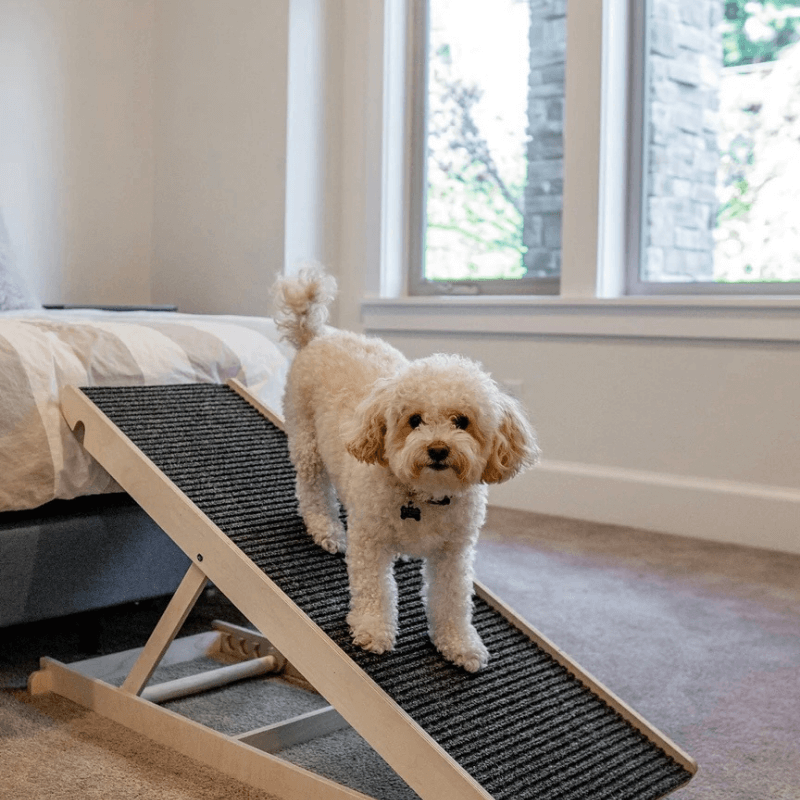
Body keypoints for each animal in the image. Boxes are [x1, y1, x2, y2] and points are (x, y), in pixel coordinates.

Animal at [272, 268, 540, 668]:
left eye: (462, 421)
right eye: (414, 420)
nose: (438, 449)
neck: (425, 495)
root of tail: (317, 335)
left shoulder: (454, 553)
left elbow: (452, 600)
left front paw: (459, 643)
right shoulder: (369, 541)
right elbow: (375, 589)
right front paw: (373, 629)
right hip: (307, 442)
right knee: (313, 489)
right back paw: (326, 528)